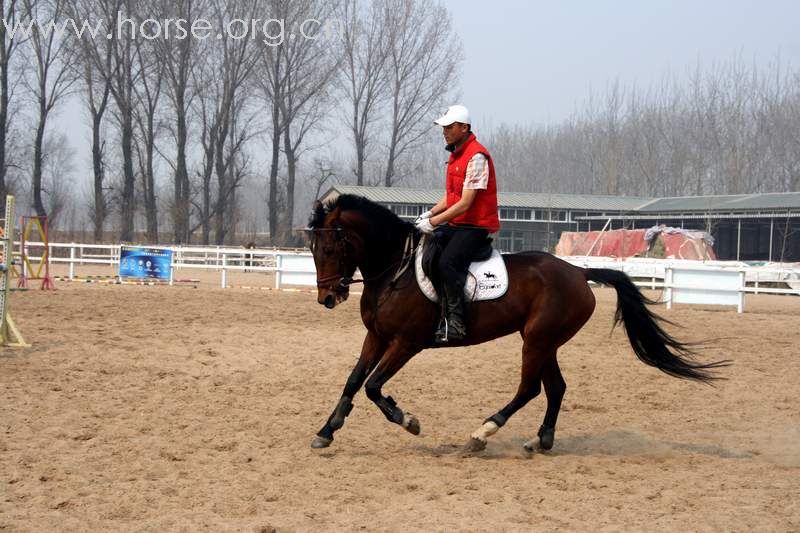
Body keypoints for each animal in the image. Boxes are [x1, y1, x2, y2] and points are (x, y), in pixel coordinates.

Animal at [304, 193, 728, 450]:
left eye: (331, 248)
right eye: (312, 248)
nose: (328, 298)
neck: (396, 269)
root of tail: (578, 271)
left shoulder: (407, 344)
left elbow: (374, 386)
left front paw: (407, 419)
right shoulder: (376, 337)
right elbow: (354, 380)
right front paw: (327, 431)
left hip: (536, 341)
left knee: (530, 389)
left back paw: (482, 433)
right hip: (545, 341)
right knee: (556, 388)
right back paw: (541, 440)